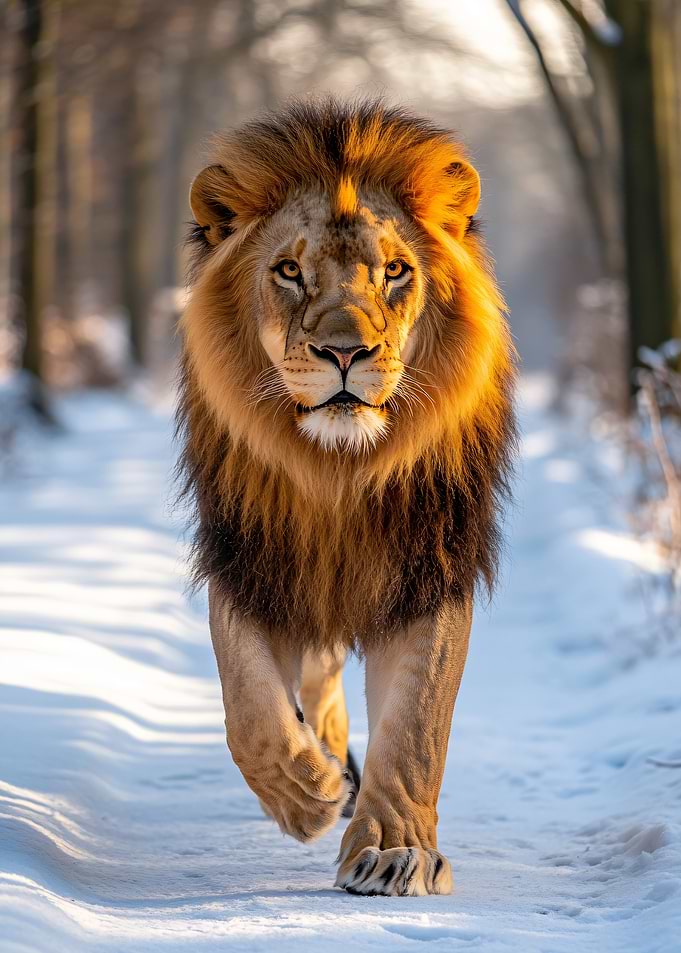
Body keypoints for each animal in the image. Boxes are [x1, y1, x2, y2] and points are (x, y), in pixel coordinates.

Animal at [178, 98, 516, 897]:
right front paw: (307, 793)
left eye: (395, 271)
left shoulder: (429, 566)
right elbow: (249, 706)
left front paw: (393, 850)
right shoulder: (248, 556)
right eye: (289, 271)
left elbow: (416, 724)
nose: (343, 352)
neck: (339, 474)